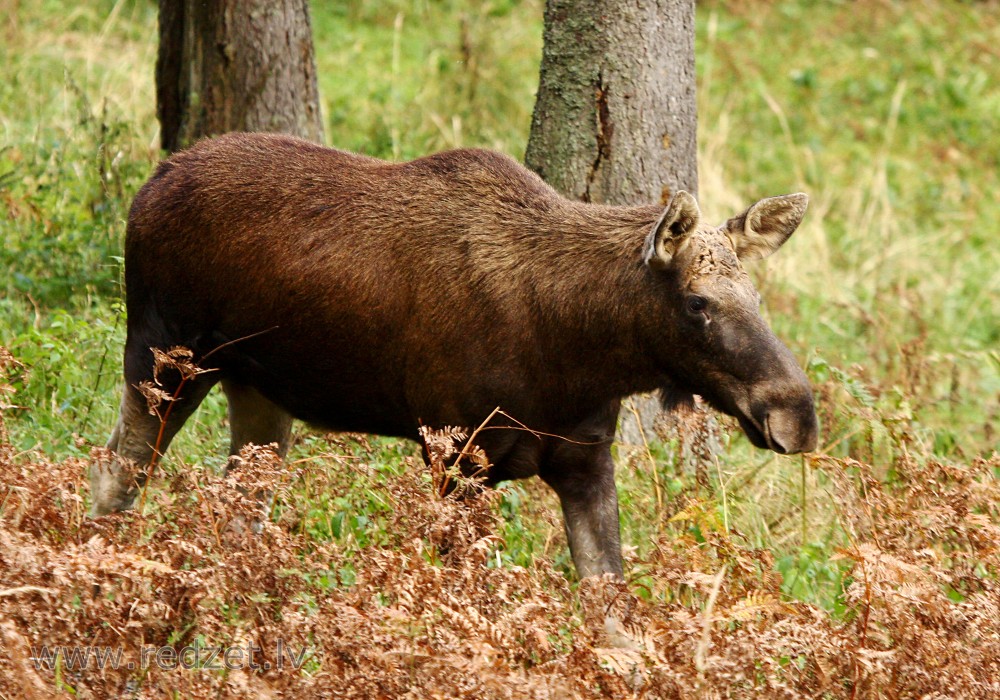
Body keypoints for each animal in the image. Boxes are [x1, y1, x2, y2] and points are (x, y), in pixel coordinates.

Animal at [94, 131, 816, 580]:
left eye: (756, 294)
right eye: (697, 303)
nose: (797, 414)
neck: (577, 354)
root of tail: (152, 180)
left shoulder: (585, 458)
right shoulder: (458, 453)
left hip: (260, 391)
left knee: (240, 508)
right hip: (163, 358)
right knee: (115, 475)